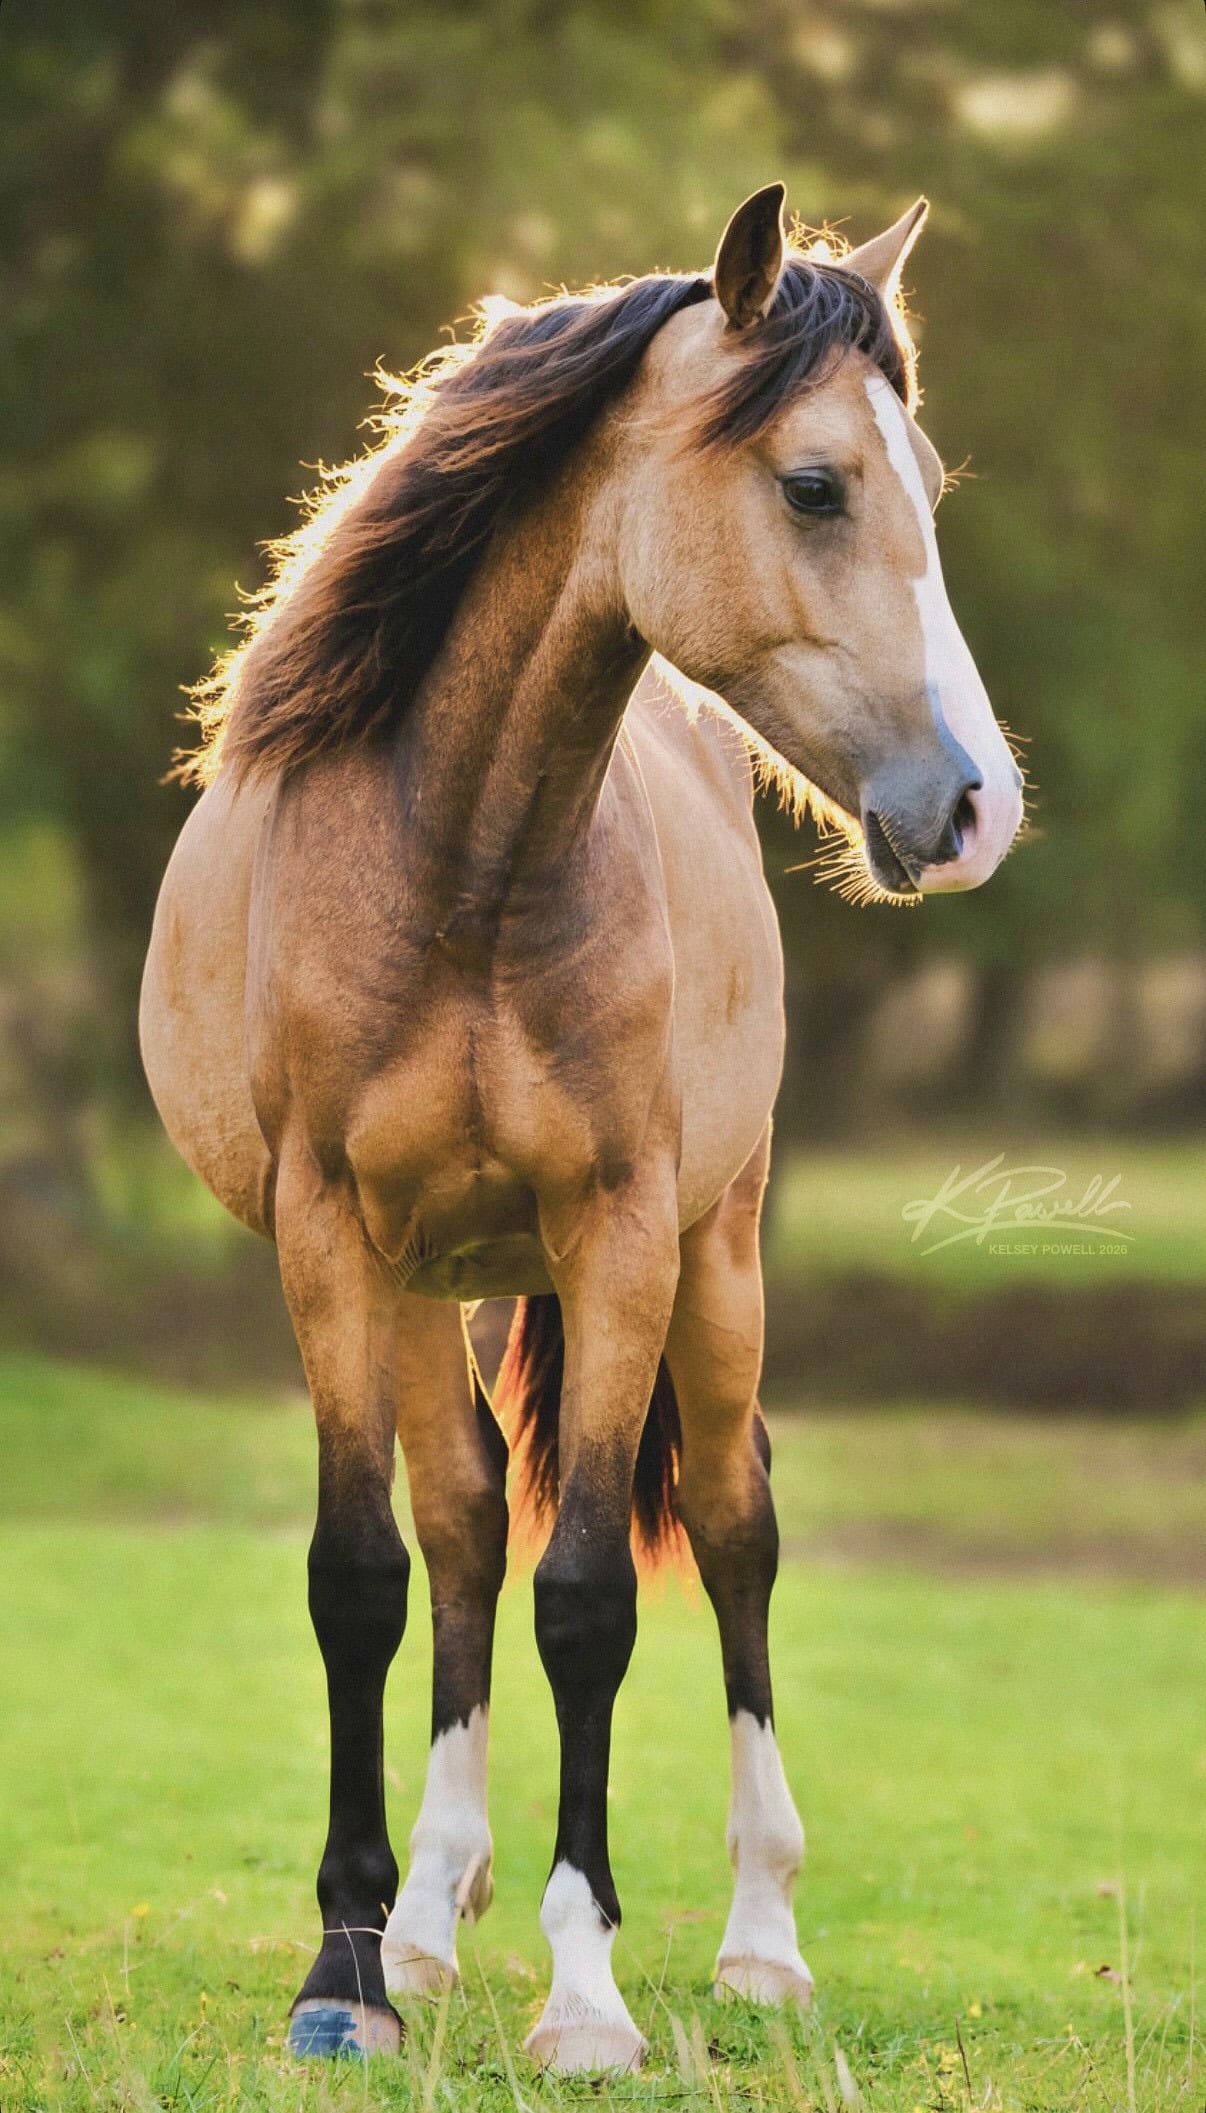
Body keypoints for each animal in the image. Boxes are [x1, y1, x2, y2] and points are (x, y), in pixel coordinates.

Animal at [140, 183, 1023, 2072]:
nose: (973, 807)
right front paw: (346, 1970)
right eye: (816, 485)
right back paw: (422, 1921)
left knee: (739, 1524)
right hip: (426, 1279)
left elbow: (594, 1596)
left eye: (924, 479)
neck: (463, 862)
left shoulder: (620, 1232)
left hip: (716, 1253)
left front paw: (588, 1989)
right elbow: (366, 1571)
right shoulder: (332, 1234)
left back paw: (758, 1939)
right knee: (464, 1518)